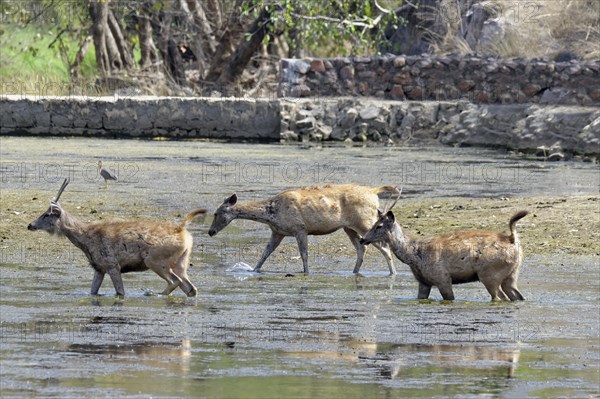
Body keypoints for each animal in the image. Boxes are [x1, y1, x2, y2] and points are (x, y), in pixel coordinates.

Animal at [27, 180, 206, 298]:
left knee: (175, 282)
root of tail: (182, 231)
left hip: (155, 260)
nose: (30, 225)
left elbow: (120, 292)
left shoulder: (112, 264)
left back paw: (155, 294)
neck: (85, 241)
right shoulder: (99, 267)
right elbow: (93, 292)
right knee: (191, 288)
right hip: (181, 262)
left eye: (47, 214)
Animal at [209, 184, 400, 276]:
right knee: (362, 247)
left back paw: (393, 272)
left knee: (384, 247)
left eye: (216, 213)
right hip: (349, 228)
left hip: (365, 222)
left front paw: (306, 272)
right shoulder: (278, 231)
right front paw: (254, 270)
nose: (210, 232)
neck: (271, 214)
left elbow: (304, 254)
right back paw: (354, 272)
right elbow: (265, 253)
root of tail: (373, 192)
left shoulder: (300, 228)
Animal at [358, 209, 528, 300]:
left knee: (500, 297)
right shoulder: (424, 282)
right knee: (517, 296)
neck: (414, 256)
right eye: (374, 223)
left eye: (379, 226)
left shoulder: (443, 278)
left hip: (489, 274)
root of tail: (513, 239)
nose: (362, 239)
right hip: (511, 274)